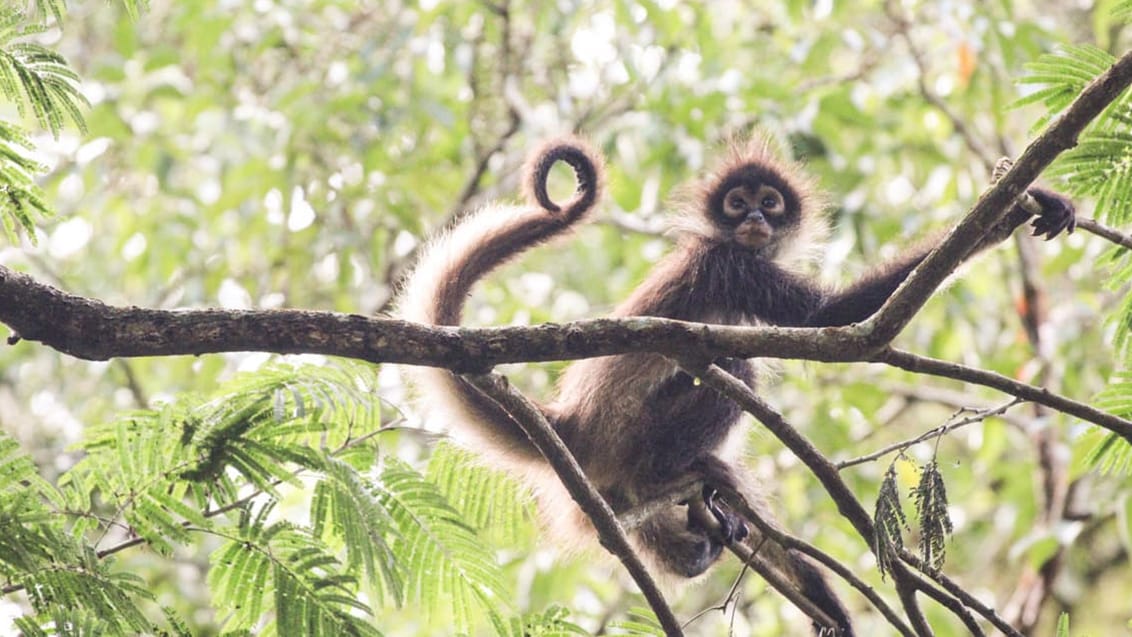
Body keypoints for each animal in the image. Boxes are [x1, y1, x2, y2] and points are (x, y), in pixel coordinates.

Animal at [393, 133, 1073, 633]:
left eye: (768, 203)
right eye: (737, 203)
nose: (751, 219)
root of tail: (573, 426)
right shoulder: (728, 264)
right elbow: (836, 320)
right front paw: (1009, 209)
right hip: (630, 433)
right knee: (735, 370)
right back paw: (664, 480)